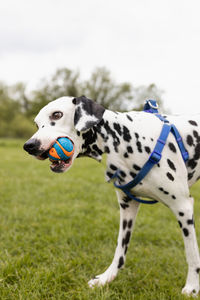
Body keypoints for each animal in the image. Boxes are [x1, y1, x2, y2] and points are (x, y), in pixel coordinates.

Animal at [23, 95, 200, 296]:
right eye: (37, 124)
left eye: (57, 114)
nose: (29, 145)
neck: (125, 140)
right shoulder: (127, 207)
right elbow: (120, 249)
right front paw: (106, 278)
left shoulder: (183, 207)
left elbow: (192, 253)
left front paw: (192, 287)